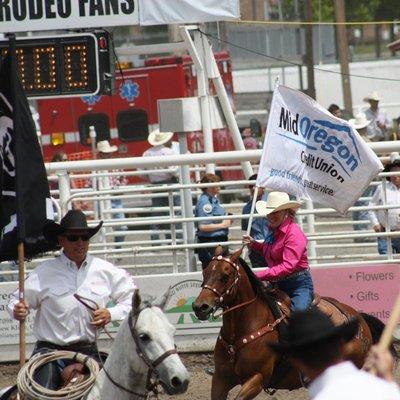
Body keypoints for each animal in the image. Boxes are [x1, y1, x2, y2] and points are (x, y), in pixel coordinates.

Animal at [192, 247, 386, 400]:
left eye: (225, 276)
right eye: (205, 272)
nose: (199, 307)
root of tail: (359, 318)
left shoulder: (257, 378)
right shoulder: (220, 378)